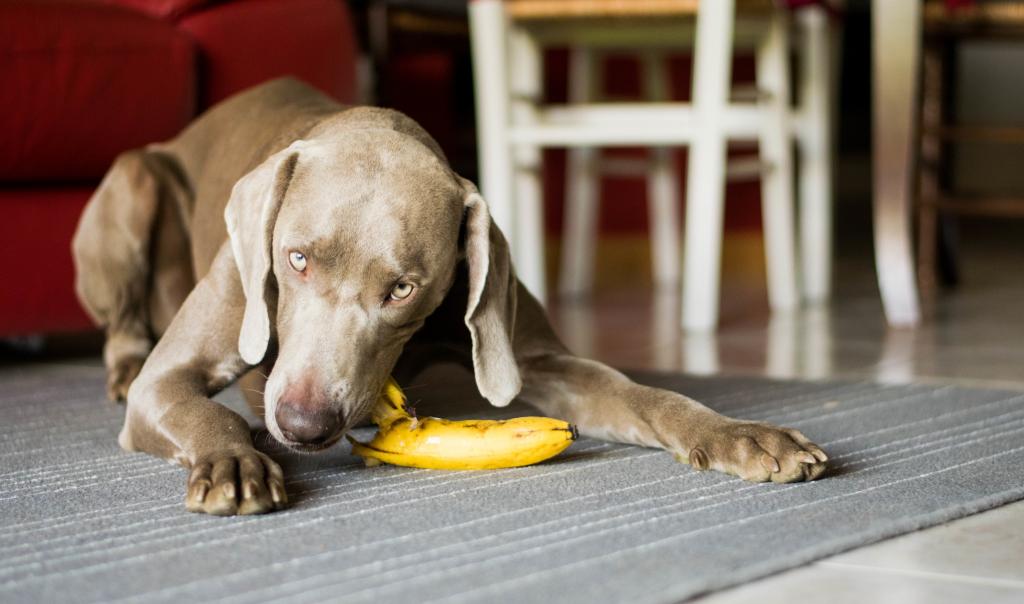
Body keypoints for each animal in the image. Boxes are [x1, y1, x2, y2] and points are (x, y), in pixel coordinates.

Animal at [72, 78, 827, 518]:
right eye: (296, 259)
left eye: (402, 289)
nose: (304, 425)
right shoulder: (171, 378)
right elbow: (203, 410)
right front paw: (235, 462)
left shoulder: (532, 349)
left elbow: (644, 395)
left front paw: (738, 435)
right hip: (135, 181)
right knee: (125, 326)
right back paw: (121, 369)